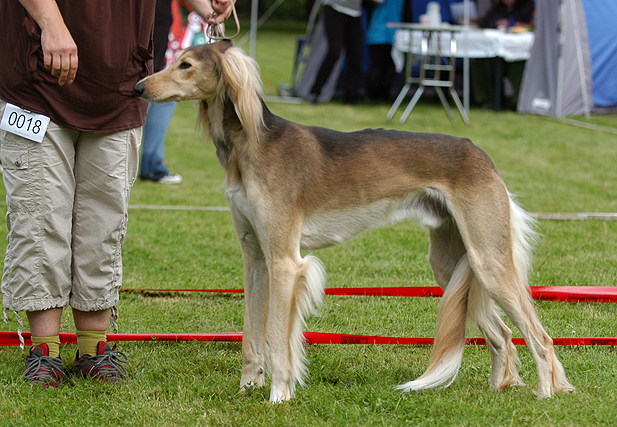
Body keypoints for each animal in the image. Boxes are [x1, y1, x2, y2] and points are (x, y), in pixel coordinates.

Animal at [134, 41, 572, 404]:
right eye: (174, 60)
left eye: (186, 64)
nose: (139, 87)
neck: (252, 144)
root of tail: (481, 154)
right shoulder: (255, 258)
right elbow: (250, 336)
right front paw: (248, 388)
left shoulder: (284, 261)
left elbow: (278, 340)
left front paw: (278, 396)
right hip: (453, 264)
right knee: (503, 335)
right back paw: (499, 389)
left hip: (488, 258)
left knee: (539, 336)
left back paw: (547, 393)